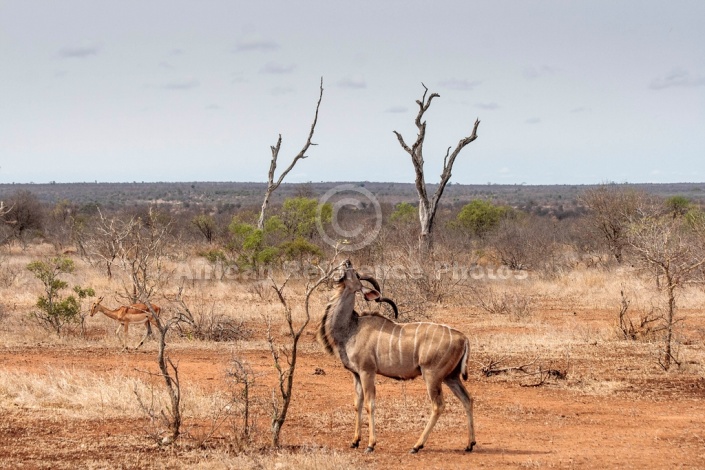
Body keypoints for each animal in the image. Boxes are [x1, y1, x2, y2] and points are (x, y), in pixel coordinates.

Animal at [318, 262, 472, 454]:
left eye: (356, 274)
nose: (347, 262)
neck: (351, 328)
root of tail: (463, 338)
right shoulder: (356, 374)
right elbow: (357, 403)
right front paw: (354, 441)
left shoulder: (367, 372)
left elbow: (369, 404)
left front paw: (370, 445)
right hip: (451, 377)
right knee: (467, 399)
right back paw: (470, 444)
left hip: (432, 376)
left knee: (438, 406)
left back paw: (416, 446)